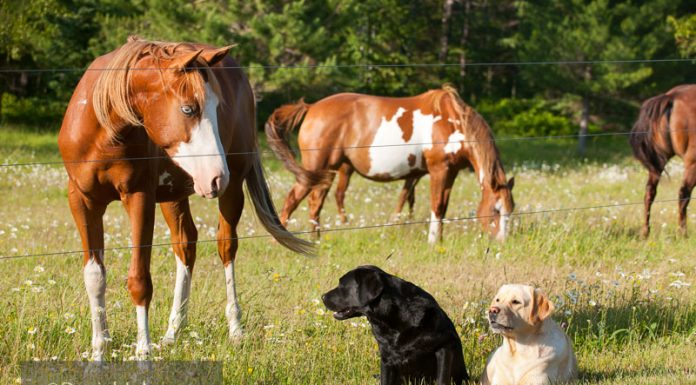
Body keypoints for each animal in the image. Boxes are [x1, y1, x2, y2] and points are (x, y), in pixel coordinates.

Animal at [59, 37, 310, 358]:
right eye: (188, 109)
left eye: (217, 108)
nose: (217, 176)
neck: (104, 129)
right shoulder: (82, 202)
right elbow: (94, 277)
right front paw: (99, 352)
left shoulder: (139, 198)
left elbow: (139, 279)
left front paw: (143, 353)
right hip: (173, 195)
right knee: (186, 244)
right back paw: (173, 331)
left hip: (231, 190)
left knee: (226, 247)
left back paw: (235, 329)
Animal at [266, 87, 516, 243]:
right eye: (495, 210)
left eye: (510, 211)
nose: (501, 242)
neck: (453, 122)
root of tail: (311, 108)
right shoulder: (439, 170)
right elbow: (436, 206)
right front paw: (432, 241)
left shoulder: (450, 172)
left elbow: (440, 207)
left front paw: (439, 239)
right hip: (317, 169)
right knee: (294, 199)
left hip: (326, 172)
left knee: (315, 203)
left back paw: (315, 239)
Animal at [632, 83, 696, 236]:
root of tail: (672, 96)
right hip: (692, 163)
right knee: (683, 194)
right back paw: (682, 233)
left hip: (658, 164)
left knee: (649, 192)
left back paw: (645, 232)